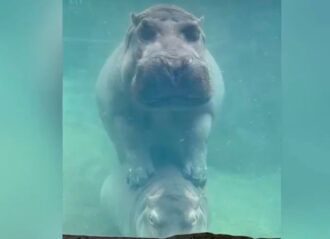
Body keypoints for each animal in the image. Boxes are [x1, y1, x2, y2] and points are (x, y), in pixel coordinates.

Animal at [95, 4, 224, 187]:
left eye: (194, 31)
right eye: (145, 30)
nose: (174, 63)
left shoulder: (205, 111)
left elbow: (197, 138)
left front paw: (197, 177)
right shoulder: (121, 113)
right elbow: (132, 140)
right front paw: (139, 178)